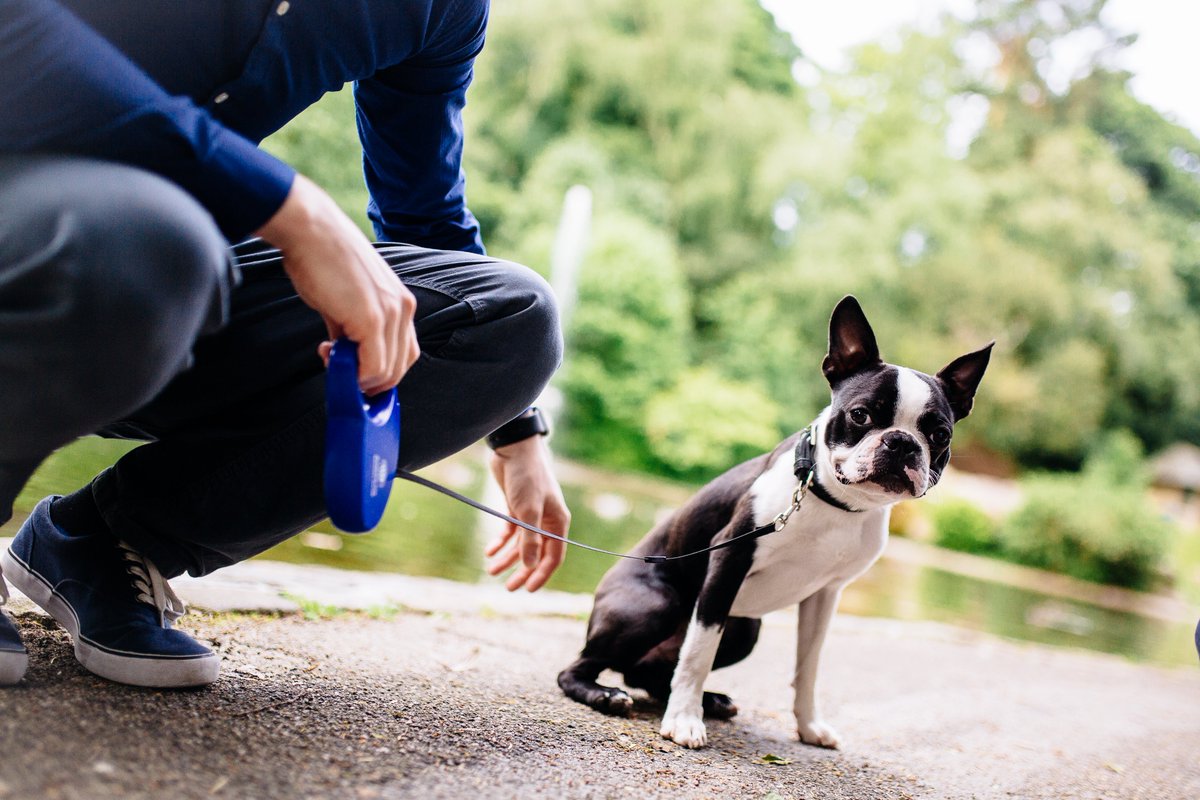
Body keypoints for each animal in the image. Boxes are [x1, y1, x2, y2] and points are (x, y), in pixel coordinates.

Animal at [556, 296, 988, 753]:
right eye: (860, 415)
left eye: (940, 435)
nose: (902, 442)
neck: (837, 503)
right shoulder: (728, 561)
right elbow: (699, 651)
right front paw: (685, 720)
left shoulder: (825, 595)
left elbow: (809, 666)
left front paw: (809, 725)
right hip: (657, 604)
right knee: (581, 667)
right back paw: (608, 695)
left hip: (746, 629)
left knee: (647, 672)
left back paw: (709, 700)